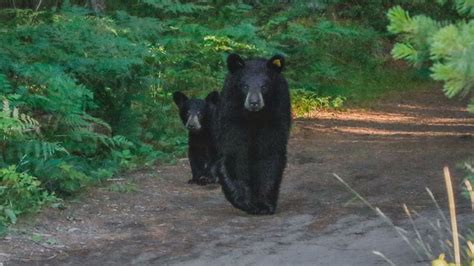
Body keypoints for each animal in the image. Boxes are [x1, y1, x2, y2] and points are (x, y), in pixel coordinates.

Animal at [213, 53, 290, 214]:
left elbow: (269, 153)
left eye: (264, 86)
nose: (254, 102)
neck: (254, 117)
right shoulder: (232, 114)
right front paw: (246, 202)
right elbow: (235, 153)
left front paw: (265, 204)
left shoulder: (277, 114)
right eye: (245, 86)